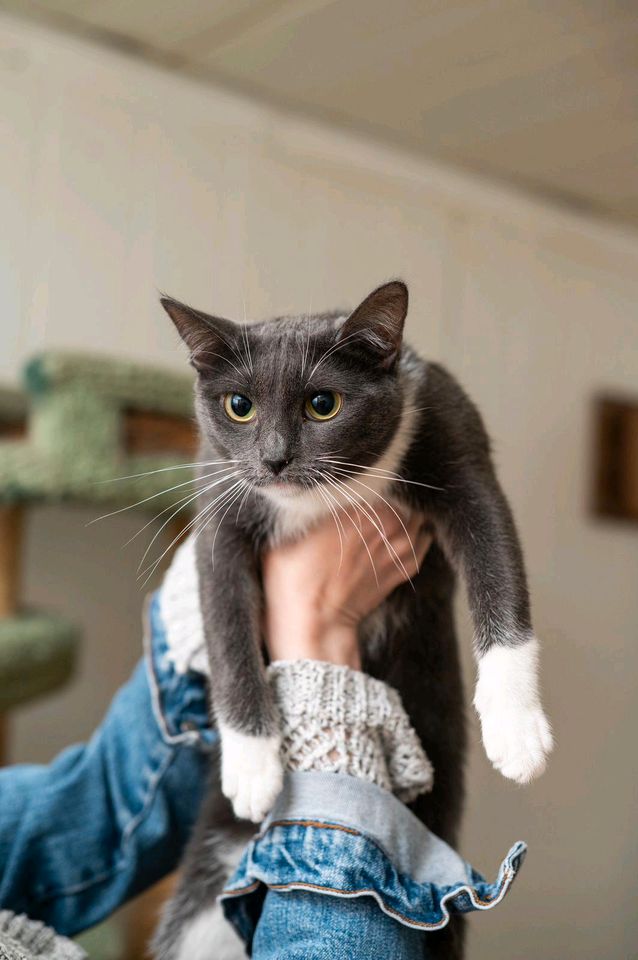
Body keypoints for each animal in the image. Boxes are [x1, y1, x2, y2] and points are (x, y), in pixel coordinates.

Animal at [152, 282, 552, 956]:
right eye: (239, 407)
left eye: (323, 404)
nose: (275, 460)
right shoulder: (218, 504)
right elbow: (225, 620)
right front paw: (253, 762)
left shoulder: (453, 437)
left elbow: (498, 565)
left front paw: (516, 728)